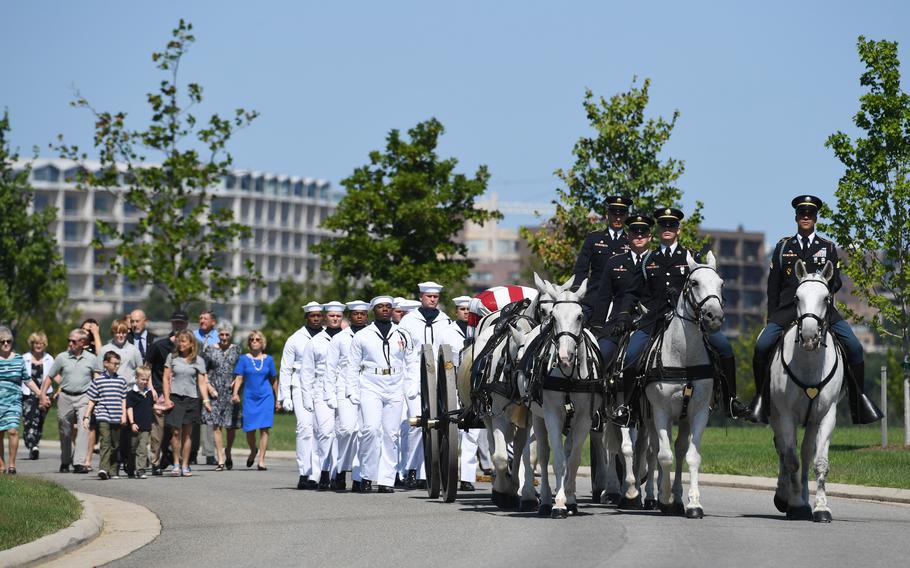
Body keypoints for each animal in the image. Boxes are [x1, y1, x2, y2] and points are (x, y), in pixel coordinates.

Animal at [516, 276, 604, 520]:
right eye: (554, 317)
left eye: (580, 316)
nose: (564, 357)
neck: (569, 375)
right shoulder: (552, 415)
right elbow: (556, 460)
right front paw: (558, 504)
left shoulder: (584, 418)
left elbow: (572, 459)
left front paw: (571, 501)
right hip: (537, 416)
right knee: (541, 454)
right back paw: (545, 500)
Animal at [648, 251, 728, 516]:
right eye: (694, 282)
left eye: (721, 284)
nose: (714, 317)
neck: (683, 357)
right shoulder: (660, 411)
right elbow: (664, 456)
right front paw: (663, 498)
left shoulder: (699, 412)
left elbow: (692, 456)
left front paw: (693, 502)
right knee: (654, 450)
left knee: (680, 448)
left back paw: (678, 497)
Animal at [772, 260, 844, 520]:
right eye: (797, 297)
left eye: (826, 298)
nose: (810, 336)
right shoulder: (786, 416)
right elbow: (791, 460)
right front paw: (794, 504)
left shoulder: (826, 415)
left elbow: (819, 461)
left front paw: (821, 507)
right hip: (776, 418)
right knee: (784, 450)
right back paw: (785, 496)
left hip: (811, 422)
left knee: (805, 453)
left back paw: (803, 496)